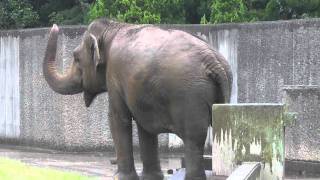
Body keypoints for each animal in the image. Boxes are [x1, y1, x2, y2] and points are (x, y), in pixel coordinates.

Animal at [43, 18, 232, 180]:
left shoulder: (114, 75)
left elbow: (117, 118)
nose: (54, 26)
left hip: (189, 97)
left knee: (193, 139)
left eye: (76, 57)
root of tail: (212, 60)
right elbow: (144, 126)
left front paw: (120, 177)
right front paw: (151, 177)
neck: (113, 27)